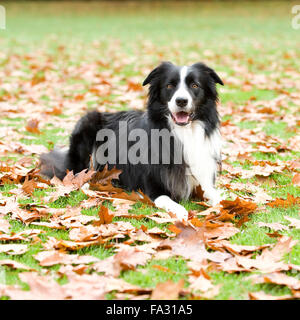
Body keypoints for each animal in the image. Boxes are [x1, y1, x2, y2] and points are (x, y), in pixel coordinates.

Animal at [40, 62, 223, 220]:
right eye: (169, 86)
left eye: (195, 85)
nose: (181, 101)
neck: (183, 133)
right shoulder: (152, 188)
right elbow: (168, 200)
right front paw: (180, 211)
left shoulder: (204, 180)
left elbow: (218, 196)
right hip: (87, 125)